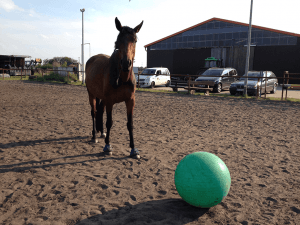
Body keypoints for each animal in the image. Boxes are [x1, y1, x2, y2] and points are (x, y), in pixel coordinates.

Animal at [86, 16, 144, 159]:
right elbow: (109, 122)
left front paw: (133, 149)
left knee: (100, 111)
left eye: (134, 40)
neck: (122, 78)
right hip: (91, 94)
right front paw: (107, 146)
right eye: (118, 41)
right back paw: (95, 136)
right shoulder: (110, 101)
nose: (126, 63)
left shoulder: (130, 100)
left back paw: (101, 133)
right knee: (94, 112)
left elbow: (130, 124)